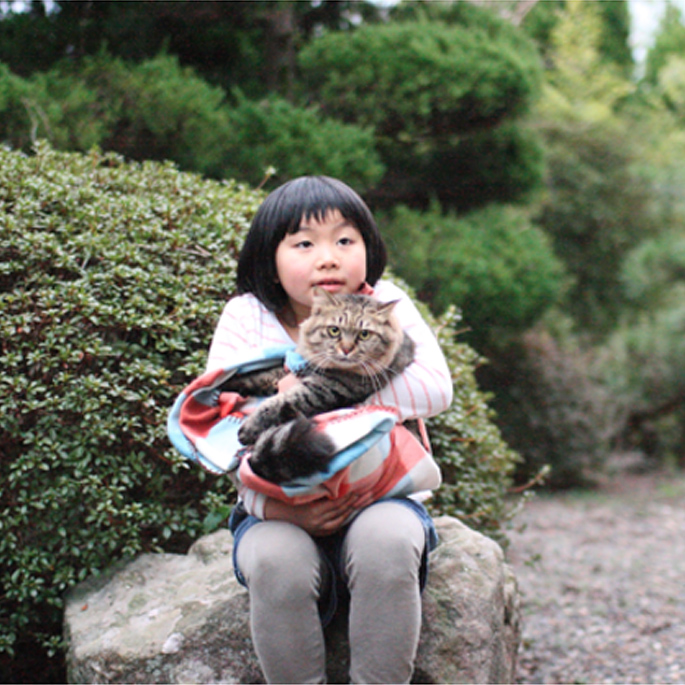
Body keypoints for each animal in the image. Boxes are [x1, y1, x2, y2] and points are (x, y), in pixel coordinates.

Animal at [222, 286, 414, 484]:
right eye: (334, 331)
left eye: (364, 334)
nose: (346, 349)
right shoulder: (292, 368)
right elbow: (262, 376)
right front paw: (229, 382)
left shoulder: (326, 389)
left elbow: (278, 402)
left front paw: (250, 427)